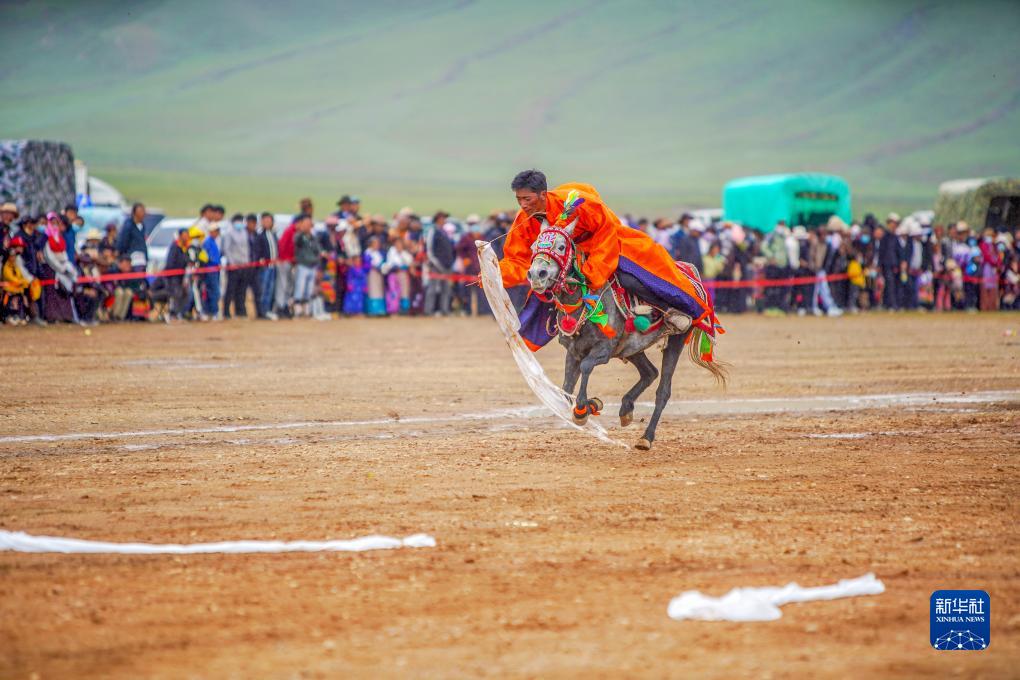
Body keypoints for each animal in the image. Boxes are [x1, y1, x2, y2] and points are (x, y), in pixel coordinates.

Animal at [526, 219, 726, 452]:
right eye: (533, 247)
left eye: (560, 246)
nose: (537, 274)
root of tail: (690, 271)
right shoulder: (573, 351)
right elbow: (565, 389)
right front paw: (590, 405)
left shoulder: (604, 350)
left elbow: (586, 367)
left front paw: (583, 409)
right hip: (632, 348)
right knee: (650, 372)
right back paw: (626, 409)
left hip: (676, 339)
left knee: (663, 390)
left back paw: (646, 437)